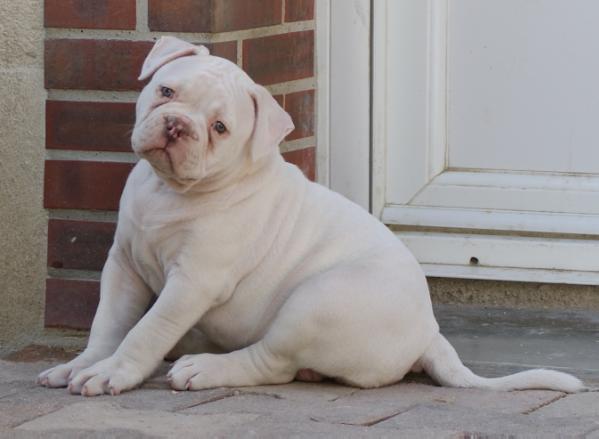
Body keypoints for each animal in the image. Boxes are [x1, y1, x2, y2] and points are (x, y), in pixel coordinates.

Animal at [35, 36, 584, 398]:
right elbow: (108, 323)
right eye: (167, 93)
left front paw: (113, 373)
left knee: (271, 361)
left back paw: (203, 369)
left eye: (220, 128)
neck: (171, 190)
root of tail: (429, 334)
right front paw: (83, 364)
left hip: (315, 303)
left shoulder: (192, 282)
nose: (176, 126)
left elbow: (146, 330)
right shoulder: (123, 266)